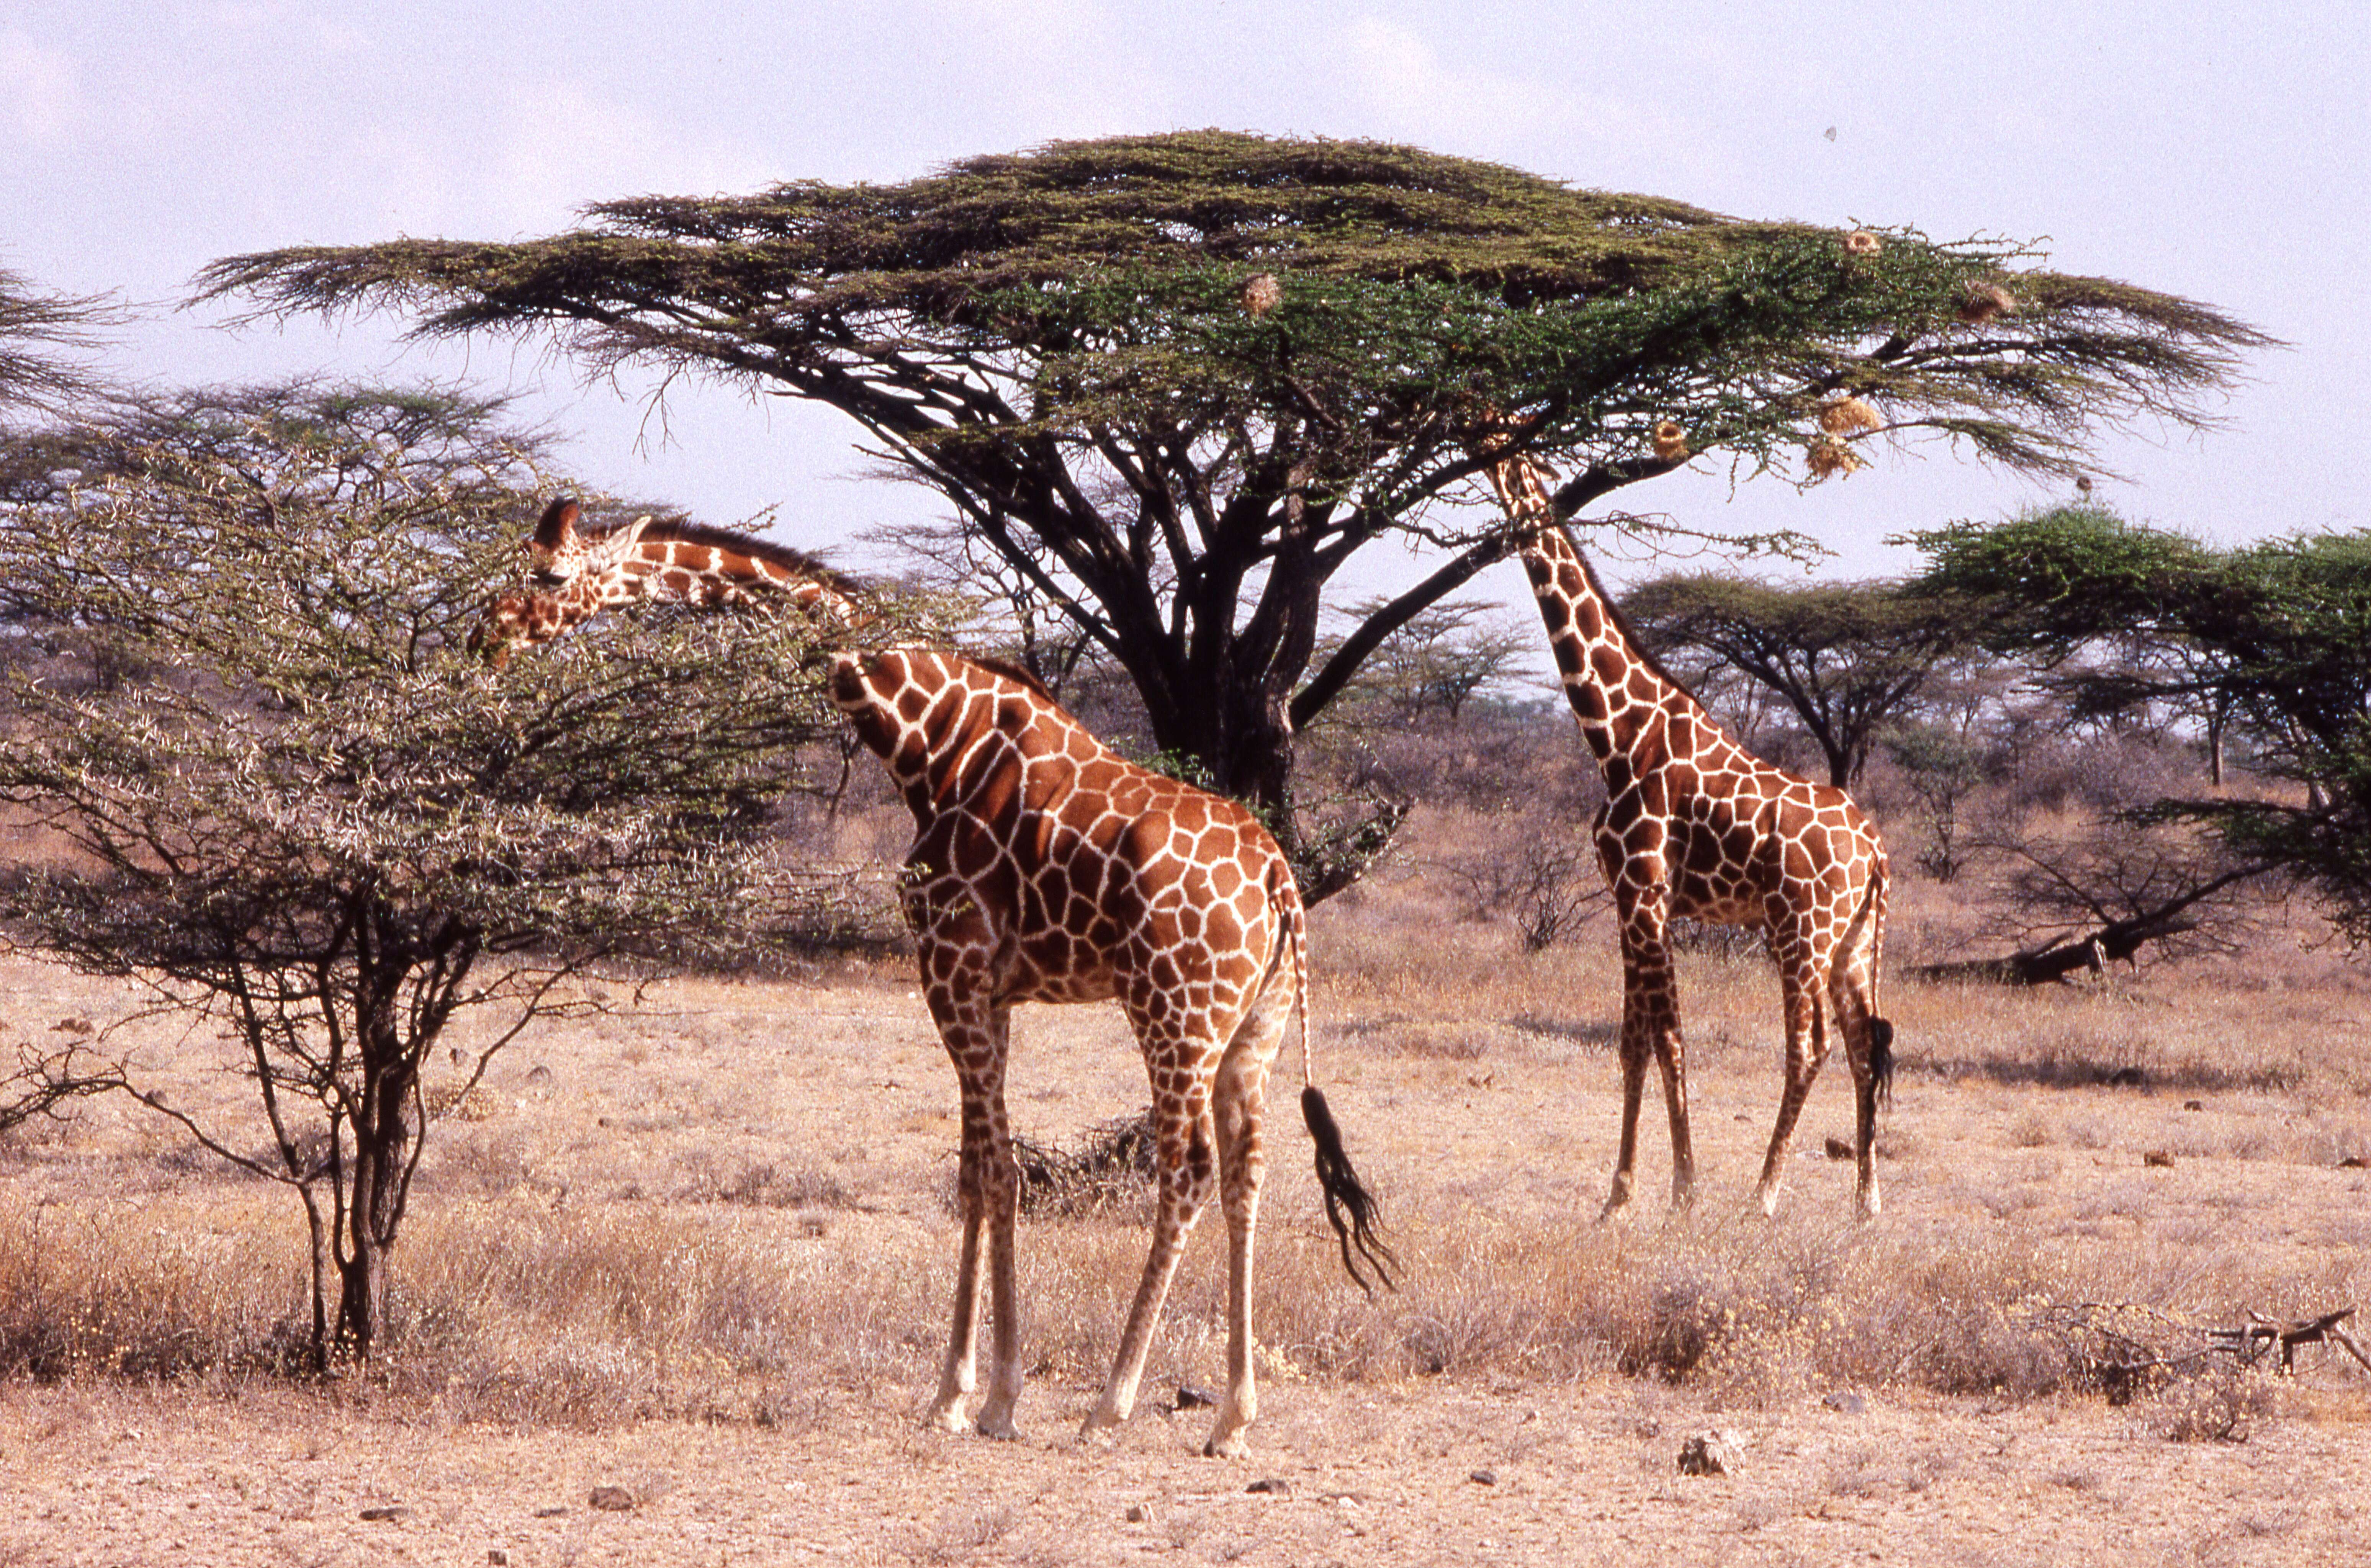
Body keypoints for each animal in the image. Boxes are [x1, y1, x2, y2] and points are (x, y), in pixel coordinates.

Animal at [469, 495, 1384, 1452]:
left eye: (548, 574)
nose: (484, 637)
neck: (932, 742)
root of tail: (1280, 878)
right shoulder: (994, 988)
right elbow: (978, 1168)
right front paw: (972, 1390)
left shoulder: (949, 967)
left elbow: (992, 1172)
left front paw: (975, 1395)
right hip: (1253, 1024)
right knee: (1247, 1170)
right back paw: (1233, 1415)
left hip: (1173, 1009)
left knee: (1187, 1172)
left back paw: (1109, 1401)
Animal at [1489, 446, 1896, 1214]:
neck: (1619, 734)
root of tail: (1876, 851)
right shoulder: (1626, 901)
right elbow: (1632, 1043)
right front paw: (1617, 1198)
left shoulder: (1647, 897)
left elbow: (1670, 1039)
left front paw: (1682, 1189)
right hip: (1854, 940)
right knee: (1866, 1041)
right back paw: (1865, 1204)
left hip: (1800, 930)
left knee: (1810, 1046)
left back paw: (1762, 1195)